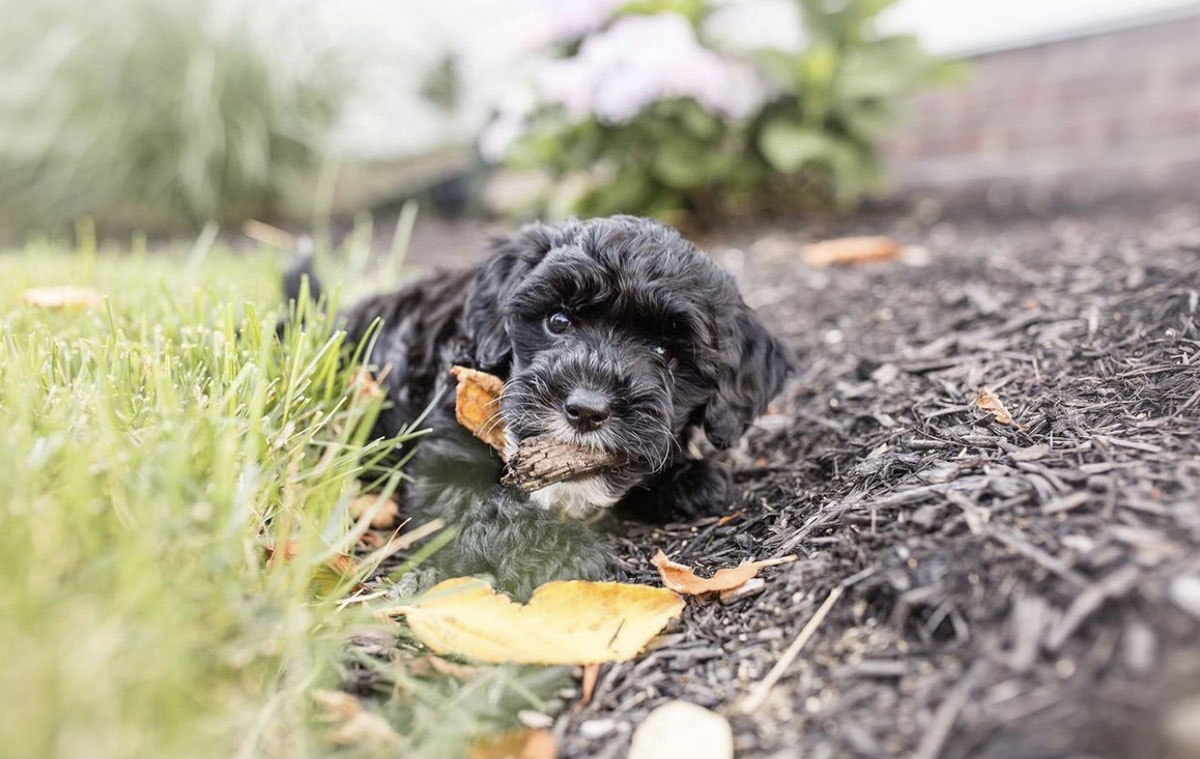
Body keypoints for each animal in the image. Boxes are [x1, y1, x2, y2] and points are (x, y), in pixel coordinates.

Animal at [288, 216, 796, 595]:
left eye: (665, 352)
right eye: (558, 320)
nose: (587, 409)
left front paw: (691, 478)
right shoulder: (444, 469)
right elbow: (487, 505)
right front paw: (560, 550)